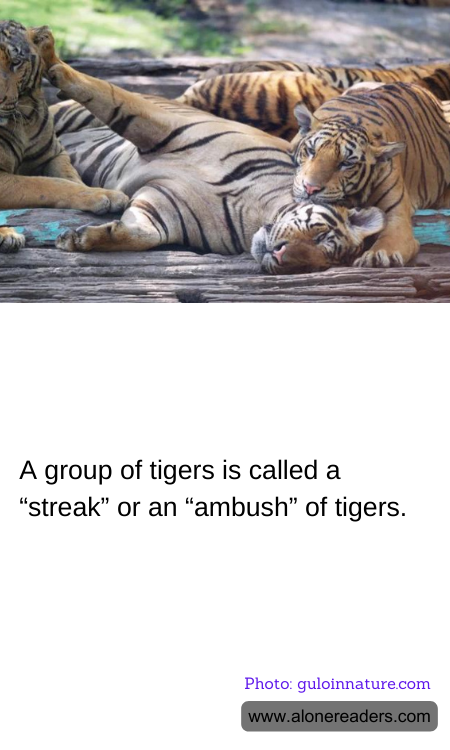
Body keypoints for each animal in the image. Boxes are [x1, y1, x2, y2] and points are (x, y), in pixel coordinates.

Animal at [0, 20, 128, 253]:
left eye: (15, 62)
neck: (23, 117)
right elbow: (47, 185)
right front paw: (101, 196)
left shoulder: (54, 155)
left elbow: (70, 179)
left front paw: (101, 194)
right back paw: (7, 236)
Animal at [29, 27, 386, 276]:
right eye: (321, 235)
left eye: (320, 261)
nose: (284, 258)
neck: (255, 207)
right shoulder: (161, 124)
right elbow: (109, 93)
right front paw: (52, 58)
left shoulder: (163, 205)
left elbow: (143, 234)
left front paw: (81, 239)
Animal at [291, 81, 450, 267]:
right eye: (311, 151)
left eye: (346, 163)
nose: (310, 188)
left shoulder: (396, 217)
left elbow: (389, 239)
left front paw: (378, 256)